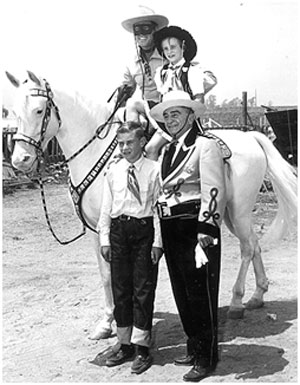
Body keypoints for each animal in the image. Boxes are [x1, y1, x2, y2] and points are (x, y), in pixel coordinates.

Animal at [5, 70, 298, 338]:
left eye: (39, 110)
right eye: (13, 112)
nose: (20, 160)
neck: (97, 152)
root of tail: (251, 138)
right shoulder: (96, 230)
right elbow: (105, 275)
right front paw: (106, 323)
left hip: (238, 211)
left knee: (247, 248)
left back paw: (237, 302)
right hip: (228, 213)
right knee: (254, 243)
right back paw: (258, 295)